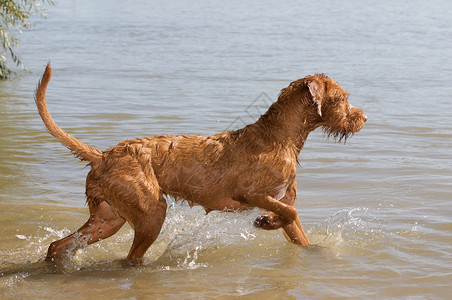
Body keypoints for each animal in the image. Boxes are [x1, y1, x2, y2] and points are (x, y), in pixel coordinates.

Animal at [35, 63, 368, 264]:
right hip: (151, 212)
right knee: (131, 257)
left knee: (58, 245)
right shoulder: (250, 193)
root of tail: (103, 155)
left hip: (107, 219)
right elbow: (290, 212)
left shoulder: (282, 198)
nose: (364, 118)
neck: (281, 136)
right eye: (342, 98)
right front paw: (266, 222)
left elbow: (297, 229)